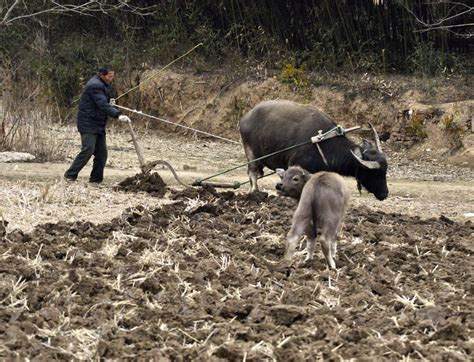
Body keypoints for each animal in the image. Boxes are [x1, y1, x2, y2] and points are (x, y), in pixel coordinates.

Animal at [237, 100, 388, 199]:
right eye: (376, 173)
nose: (385, 194)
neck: (325, 144)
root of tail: (244, 118)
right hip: (251, 153)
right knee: (252, 172)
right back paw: (255, 193)